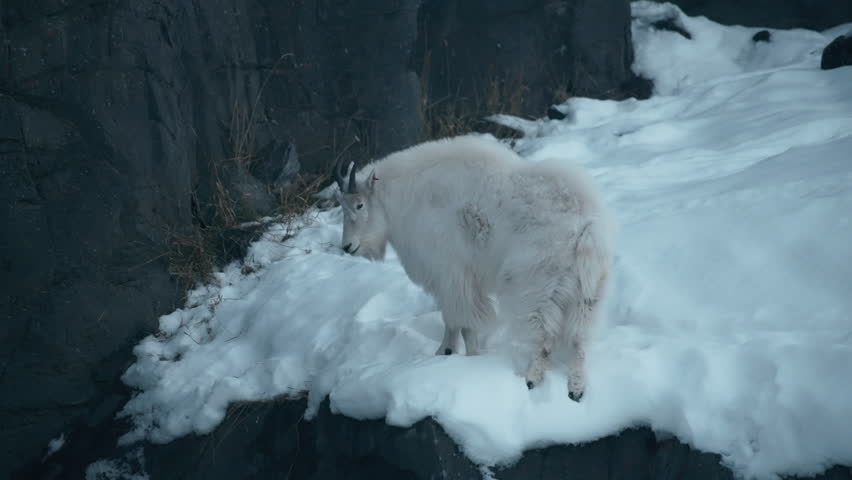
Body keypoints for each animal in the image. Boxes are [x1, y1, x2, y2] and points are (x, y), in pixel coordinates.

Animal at [334, 134, 613, 401]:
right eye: (343, 207)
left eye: (359, 204)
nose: (347, 246)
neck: (407, 197)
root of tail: (586, 226)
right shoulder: (460, 280)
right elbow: (456, 320)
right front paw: (447, 353)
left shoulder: (451, 275)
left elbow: (459, 320)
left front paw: (458, 355)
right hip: (588, 290)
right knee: (580, 339)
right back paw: (576, 388)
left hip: (534, 286)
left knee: (544, 337)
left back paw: (532, 378)